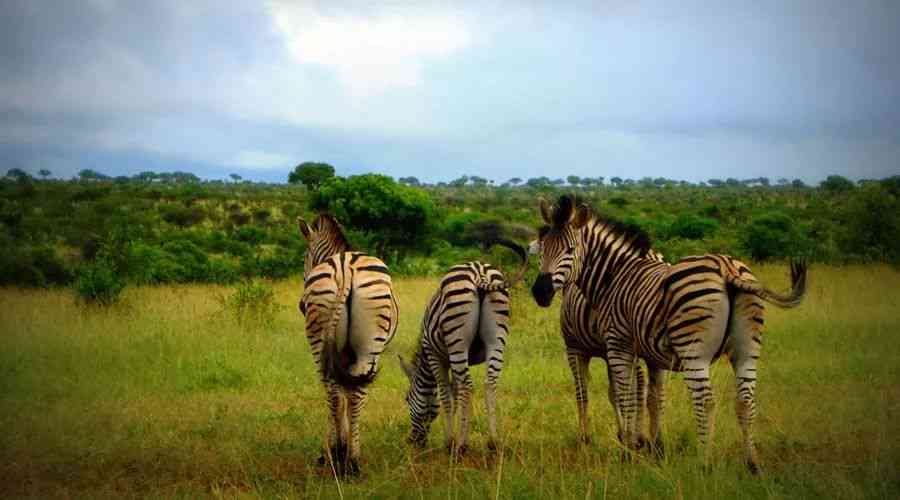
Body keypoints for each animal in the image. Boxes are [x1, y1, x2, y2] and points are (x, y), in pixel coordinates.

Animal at [298, 213, 400, 474]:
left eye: (304, 260)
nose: (301, 305)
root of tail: (345, 269)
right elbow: (349, 395)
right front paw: (343, 448)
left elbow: (340, 395)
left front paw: (336, 448)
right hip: (370, 346)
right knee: (355, 396)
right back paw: (351, 461)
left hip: (319, 340)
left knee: (332, 393)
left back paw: (336, 456)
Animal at [400, 238, 528, 454]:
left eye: (408, 399)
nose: (413, 441)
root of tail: (479, 274)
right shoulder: (454, 359)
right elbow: (455, 392)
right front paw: (458, 433)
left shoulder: (435, 355)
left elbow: (446, 394)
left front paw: (450, 440)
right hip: (496, 339)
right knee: (490, 382)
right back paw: (493, 442)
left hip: (457, 339)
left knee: (468, 386)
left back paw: (461, 446)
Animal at [532, 195, 804, 472]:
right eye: (543, 249)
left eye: (570, 250)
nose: (540, 292)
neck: (614, 276)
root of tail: (726, 267)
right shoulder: (650, 354)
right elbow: (651, 397)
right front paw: (652, 448)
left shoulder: (619, 345)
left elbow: (625, 396)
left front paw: (627, 450)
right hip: (747, 348)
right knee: (745, 400)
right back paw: (752, 464)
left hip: (693, 349)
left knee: (705, 401)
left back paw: (703, 463)